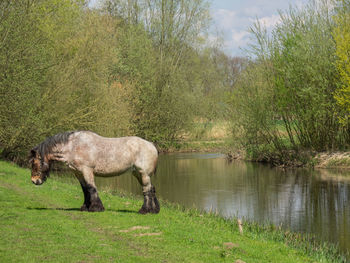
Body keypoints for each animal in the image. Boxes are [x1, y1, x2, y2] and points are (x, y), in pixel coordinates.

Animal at [28, 131, 160, 214]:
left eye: (34, 163)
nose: (34, 181)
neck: (73, 146)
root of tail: (151, 145)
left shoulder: (87, 170)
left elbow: (91, 188)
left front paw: (96, 207)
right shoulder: (78, 173)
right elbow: (85, 189)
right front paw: (85, 207)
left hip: (144, 174)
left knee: (147, 190)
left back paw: (145, 210)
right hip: (137, 173)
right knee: (151, 189)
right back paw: (154, 210)